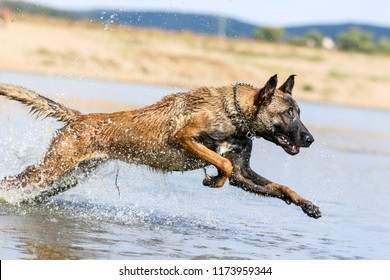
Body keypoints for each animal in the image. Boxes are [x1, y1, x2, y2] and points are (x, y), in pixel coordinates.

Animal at [0, 75, 322, 219]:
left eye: (299, 112)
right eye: (288, 113)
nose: (309, 139)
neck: (235, 113)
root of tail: (79, 117)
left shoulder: (244, 174)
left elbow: (278, 186)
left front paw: (306, 204)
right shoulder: (184, 138)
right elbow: (224, 163)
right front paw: (214, 179)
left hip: (68, 177)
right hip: (53, 168)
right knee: (13, 179)